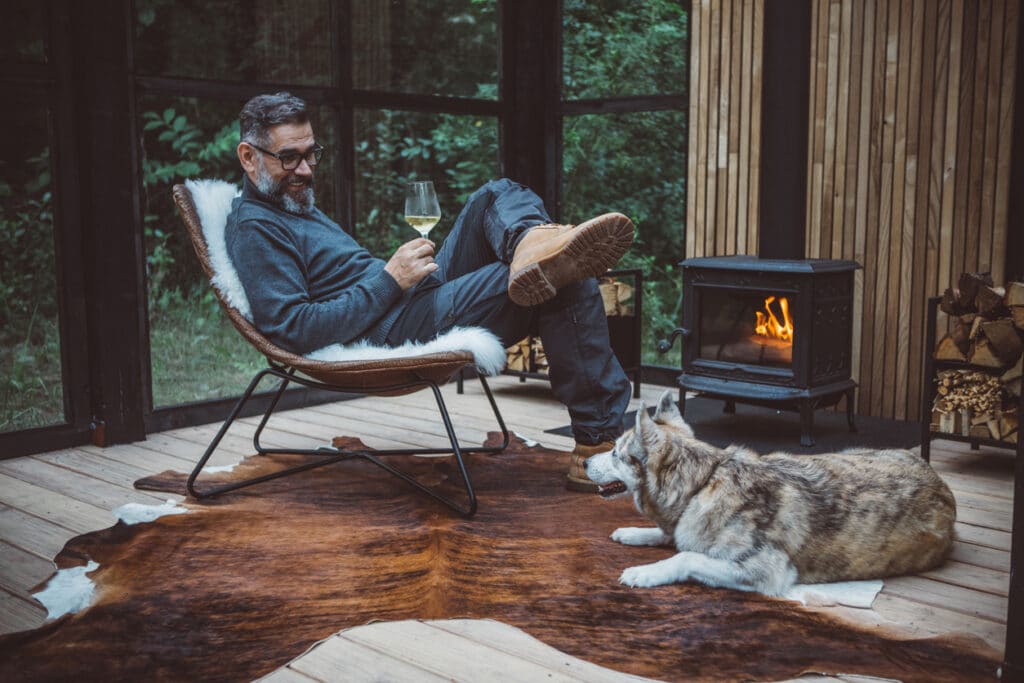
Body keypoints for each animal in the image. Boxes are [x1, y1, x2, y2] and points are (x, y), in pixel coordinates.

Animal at [589, 393, 954, 593]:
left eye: (615, 453)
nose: (585, 461)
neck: (703, 483)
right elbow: (671, 535)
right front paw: (634, 532)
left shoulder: (767, 570)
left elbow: (685, 555)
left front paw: (645, 572)